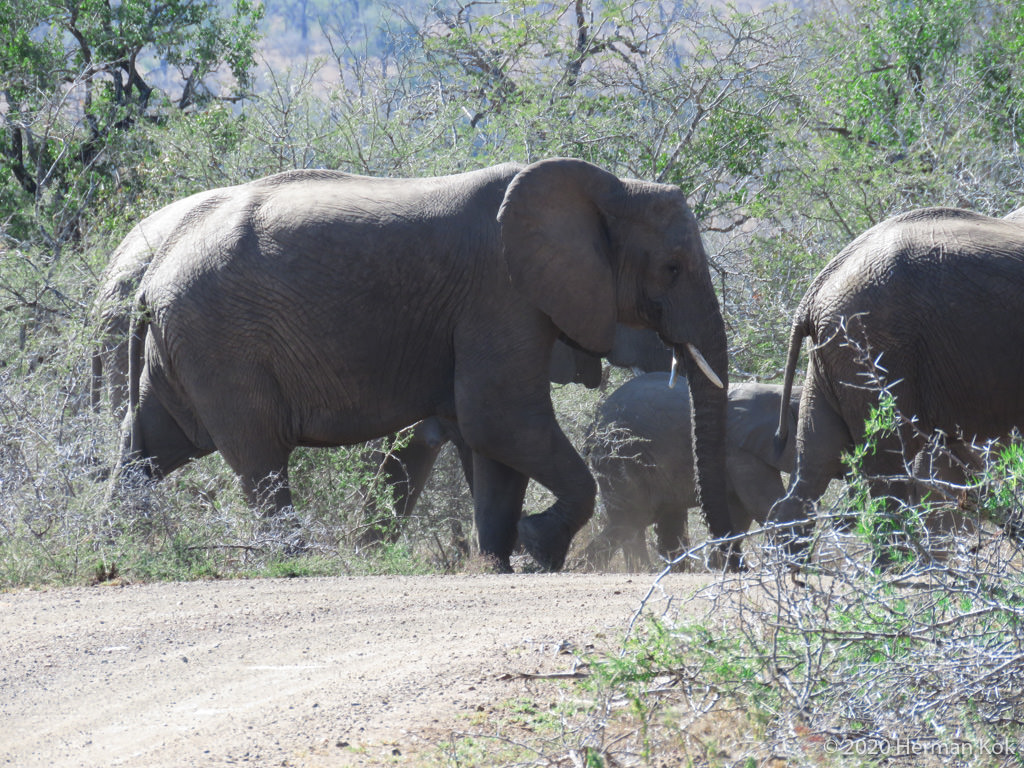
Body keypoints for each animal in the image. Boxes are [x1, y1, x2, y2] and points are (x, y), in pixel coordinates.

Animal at [110, 159, 731, 572]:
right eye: (673, 267)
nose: (729, 564)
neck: (609, 186)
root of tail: (154, 271)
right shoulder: (500, 292)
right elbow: (500, 418)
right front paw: (539, 547)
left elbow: (488, 439)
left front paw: (499, 562)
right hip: (222, 345)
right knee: (259, 457)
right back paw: (295, 562)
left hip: (183, 347)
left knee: (151, 446)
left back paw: (119, 548)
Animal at [585, 373, 801, 570]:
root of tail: (593, 424)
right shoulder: (740, 449)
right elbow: (765, 504)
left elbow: (739, 514)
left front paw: (719, 568)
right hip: (619, 452)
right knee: (634, 516)